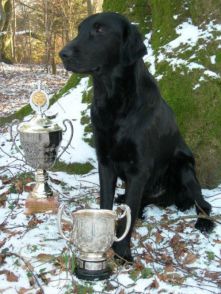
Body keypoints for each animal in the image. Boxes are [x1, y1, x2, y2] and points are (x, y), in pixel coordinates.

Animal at [60, 11, 214, 260]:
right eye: (79, 30)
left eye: (99, 30)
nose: (62, 54)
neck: (114, 101)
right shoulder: (105, 162)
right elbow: (106, 203)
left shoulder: (139, 169)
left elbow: (129, 213)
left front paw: (122, 252)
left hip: (184, 166)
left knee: (203, 203)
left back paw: (204, 221)